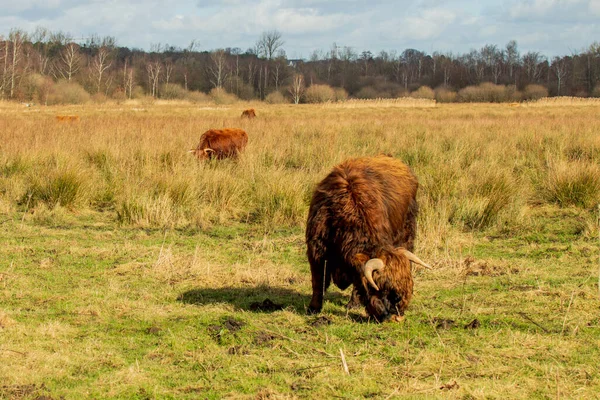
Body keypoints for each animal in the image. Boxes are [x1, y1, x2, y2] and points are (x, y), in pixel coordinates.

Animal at [308, 155, 428, 322]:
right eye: (383, 288)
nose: (397, 316)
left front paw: (353, 304)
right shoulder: (316, 250)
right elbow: (319, 281)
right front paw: (313, 308)